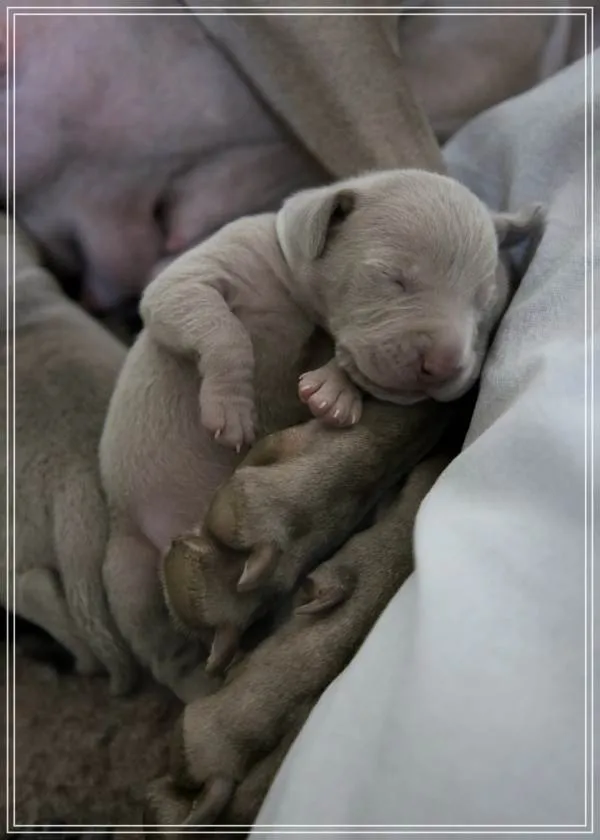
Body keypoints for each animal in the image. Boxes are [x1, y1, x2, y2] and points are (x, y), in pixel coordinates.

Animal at [99, 170, 543, 695]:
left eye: (482, 306)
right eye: (394, 278)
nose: (445, 365)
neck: (298, 301)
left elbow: (343, 369)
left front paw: (335, 391)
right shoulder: (200, 273)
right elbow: (218, 328)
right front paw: (231, 408)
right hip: (128, 568)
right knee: (158, 643)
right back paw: (199, 684)